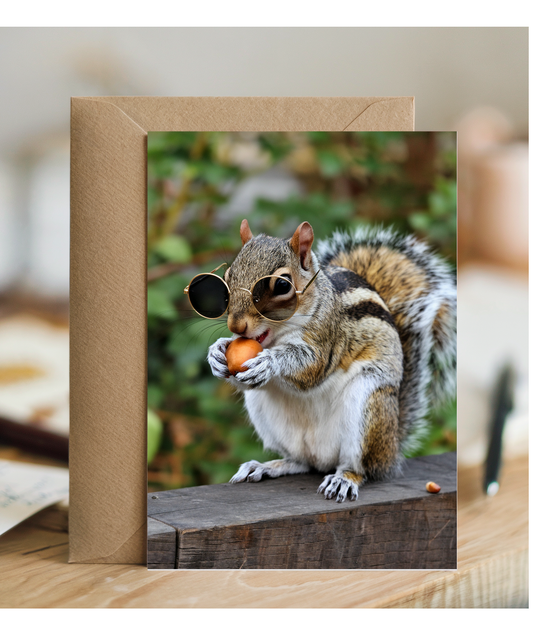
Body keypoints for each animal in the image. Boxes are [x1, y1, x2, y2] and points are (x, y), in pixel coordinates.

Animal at [207, 219, 456, 502]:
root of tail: (390, 449)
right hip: (269, 419)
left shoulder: (329, 335)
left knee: (360, 467)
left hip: (368, 407)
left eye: (282, 286)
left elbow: (312, 368)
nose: (236, 326)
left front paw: (270, 362)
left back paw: (344, 479)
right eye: (228, 277)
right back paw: (267, 466)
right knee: (301, 462)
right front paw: (216, 352)